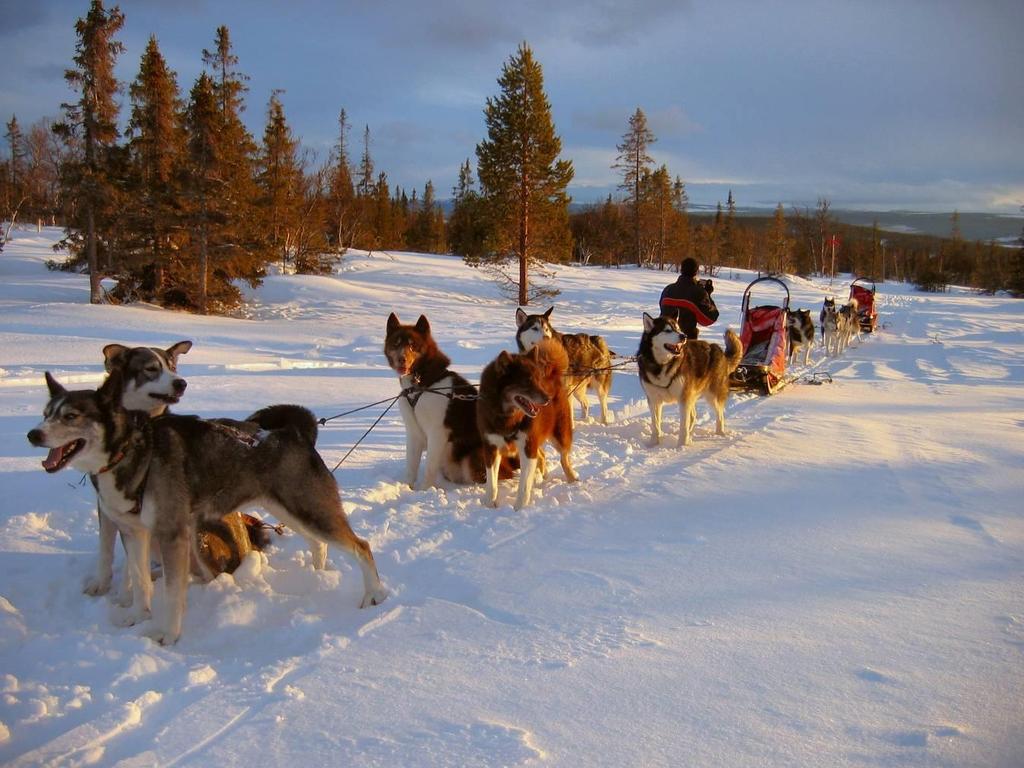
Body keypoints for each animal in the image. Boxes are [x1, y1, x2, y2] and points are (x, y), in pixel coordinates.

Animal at [29, 370, 387, 647]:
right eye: (46, 413)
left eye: (70, 416)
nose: (33, 434)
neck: (133, 451)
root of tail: (295, 432)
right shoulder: (134, 532)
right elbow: (140, 579)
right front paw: (137, 615)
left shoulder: (171, 534)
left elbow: (173, 591)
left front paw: (168, 635)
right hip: (291, 511)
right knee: (319, 544)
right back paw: (317, 575)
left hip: (302, 512)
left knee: (361, 546)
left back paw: (374, 595)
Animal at [477, 337, 577, 512]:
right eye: (527, 381)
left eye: (538, 379)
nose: (547, 399)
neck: (507, 417)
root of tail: (552, 374)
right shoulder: (491, 447)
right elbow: (492, 482)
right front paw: (491, 504)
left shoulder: (527, 445)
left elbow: (523, 486)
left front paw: (519, 509)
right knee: (542, 456)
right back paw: (541, 478)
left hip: (560, 435)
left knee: (564, 458)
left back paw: (572, 479)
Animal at [634, 311, 741, 444]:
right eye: (668, 330)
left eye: (678, 328)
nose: (683, 336)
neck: (662, 365)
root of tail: (719, 350)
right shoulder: (654, 400)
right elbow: (655, 425)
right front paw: (653, 444)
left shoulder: (684, 398)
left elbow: (683, 425)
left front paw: (682, 445)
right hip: (693, 395)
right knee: (693, 416)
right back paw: (691, 435)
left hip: (712, 395)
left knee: (719, 415)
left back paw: (720, 434)